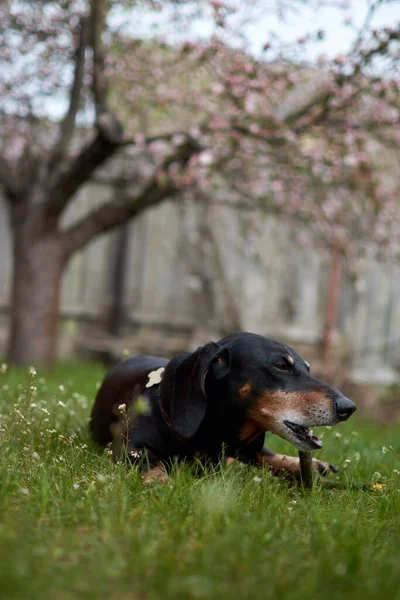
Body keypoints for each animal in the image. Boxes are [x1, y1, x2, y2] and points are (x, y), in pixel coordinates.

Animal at [90, 332, 356, 482]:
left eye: (308, 368)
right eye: (280, 365)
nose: (349, 407)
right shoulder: (131, 448)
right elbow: (151, 461)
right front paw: (159, 481)